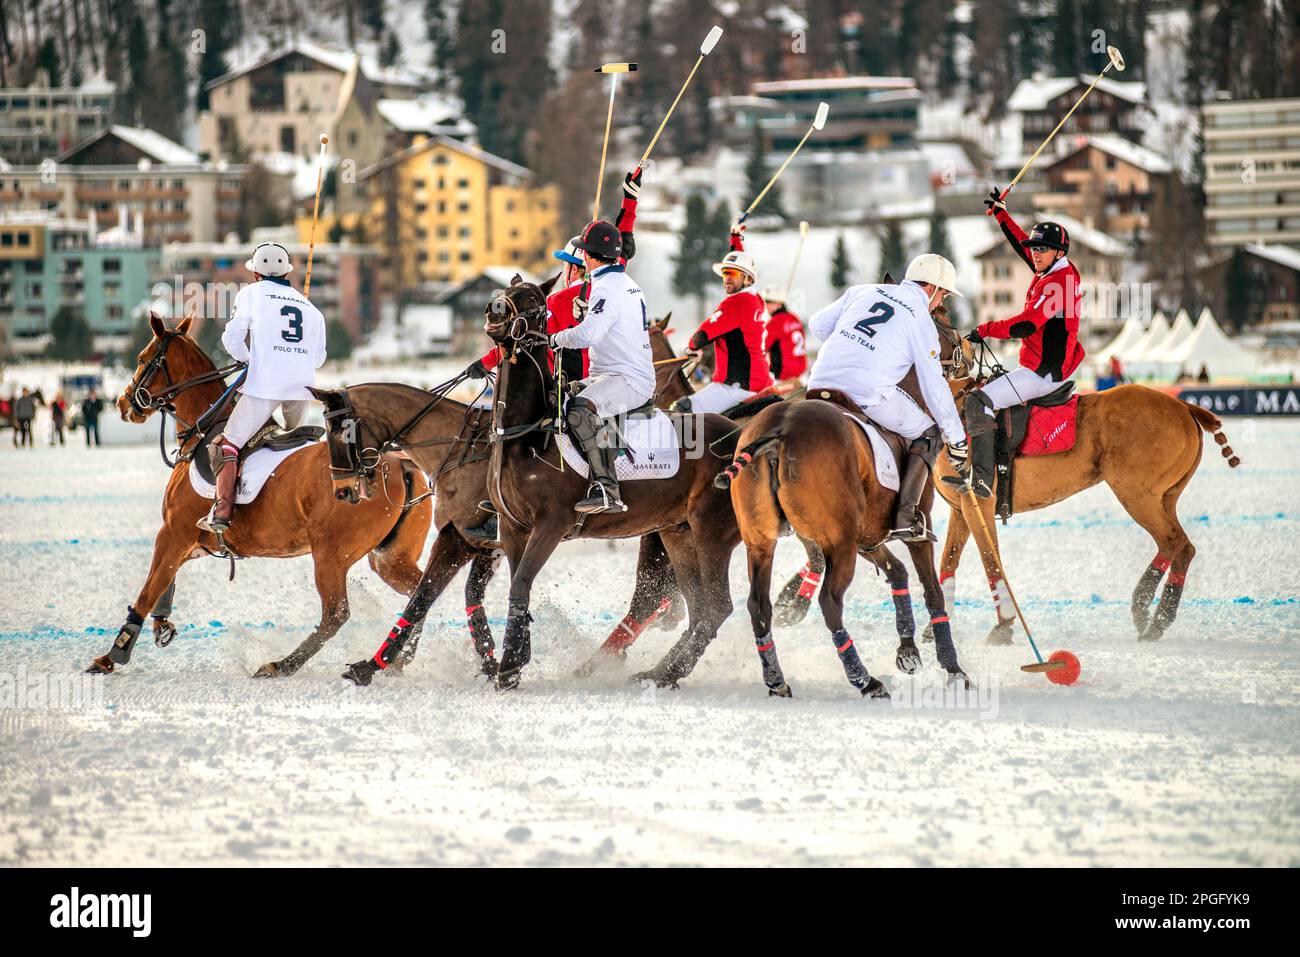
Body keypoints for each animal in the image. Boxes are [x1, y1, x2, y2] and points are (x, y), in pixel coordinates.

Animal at [86, 314, 431, 670]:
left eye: (143, 358)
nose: (123, 403)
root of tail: (399, 464)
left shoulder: (174, 531)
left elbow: (150, 587)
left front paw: (113, 654)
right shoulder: (189, 540)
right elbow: (165, 580)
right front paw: (161, 624)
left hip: (331, 553)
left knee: (336, 614)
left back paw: (282, 665)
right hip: (390, 557)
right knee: (421, 591)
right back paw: (397, 657)